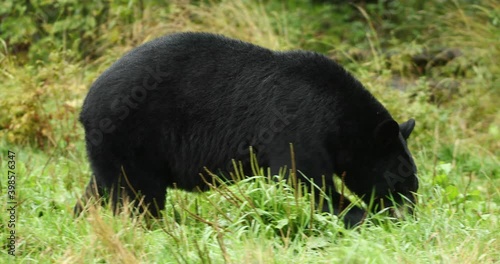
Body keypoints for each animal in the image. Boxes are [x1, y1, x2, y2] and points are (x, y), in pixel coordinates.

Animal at [74, 32, 418, 226]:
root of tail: (87, 103)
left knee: (101, 188)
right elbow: (304, 182)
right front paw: (363, 217)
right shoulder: (298, 126)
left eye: (413, 178)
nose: (412, 210)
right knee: (139, 197)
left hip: (111, 149)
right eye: (403, 178)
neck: (338, 115)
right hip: (134, 136)